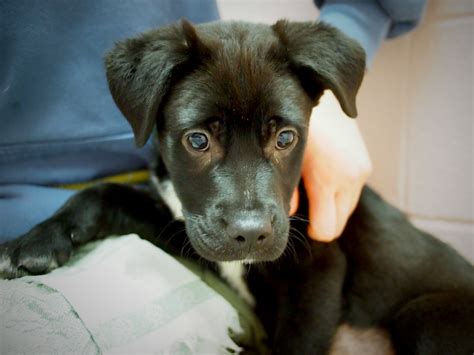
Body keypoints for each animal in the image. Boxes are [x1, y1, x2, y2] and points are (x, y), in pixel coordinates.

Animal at [0, 20, 474, 355]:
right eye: (197, 140)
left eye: (285, 137)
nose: (250, 234)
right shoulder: (188, 230)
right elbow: (104, 193)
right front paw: (35, 241)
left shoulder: (319, 271)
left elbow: (296, 345)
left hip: (424, 316)